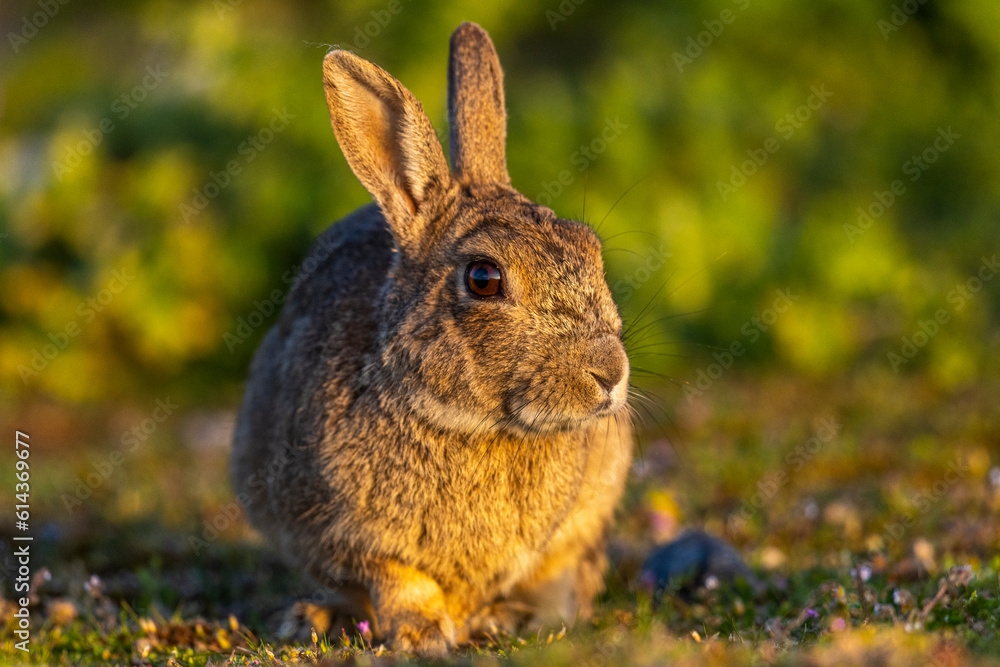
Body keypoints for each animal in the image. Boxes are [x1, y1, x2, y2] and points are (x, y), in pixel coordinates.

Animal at [230, 22, 633, 657]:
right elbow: (398, 579)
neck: (470, 424)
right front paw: (421, 635)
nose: (610, 373)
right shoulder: (350, 536)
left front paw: (493, 621)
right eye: (484, 278)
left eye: (589, 247)